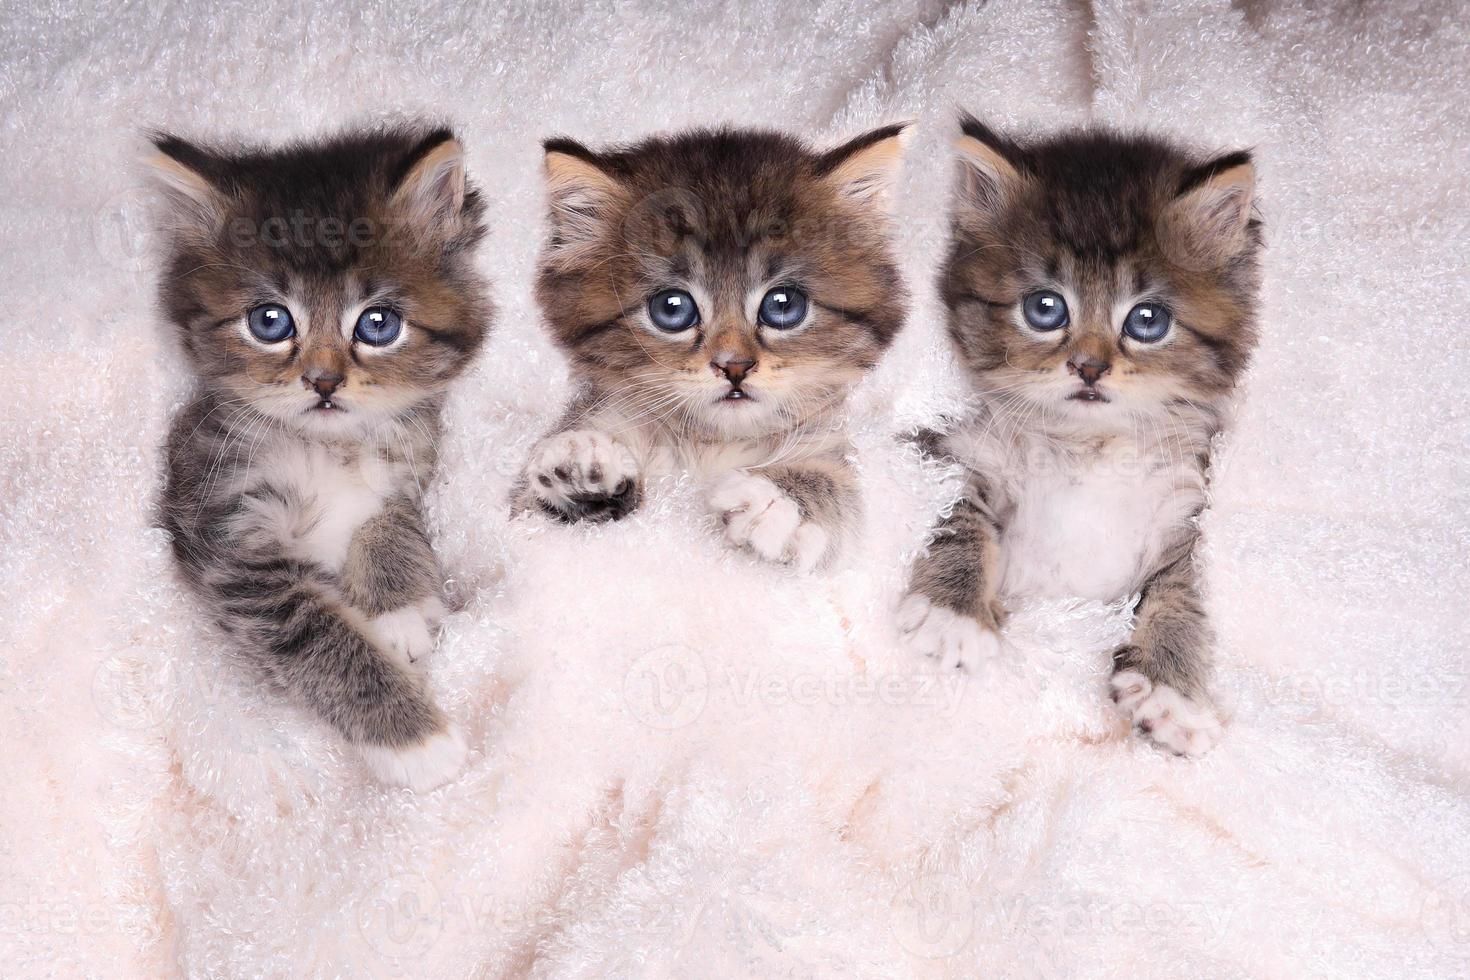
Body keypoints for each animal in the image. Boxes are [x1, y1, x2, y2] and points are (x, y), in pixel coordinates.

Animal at [154, 126, 490, 793]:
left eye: (378, 324)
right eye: (270, 321)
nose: (324, 382)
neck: (332, 447)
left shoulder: (413, 466)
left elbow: (391, 520)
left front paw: (398, 610)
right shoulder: (230, 533)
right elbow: (317, 635)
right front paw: (418, 742)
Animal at [514, 124, 905, 567]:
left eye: (782, 304)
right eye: (672, 308)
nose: (734, 367)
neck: (711, 444)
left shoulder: (830, 444)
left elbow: (835, 485)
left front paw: (776, 500)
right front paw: (579, 465)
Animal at [899, 116, 1258, 758]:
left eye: (1147, 320)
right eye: (1045, 308)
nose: (1089, 368)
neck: (1090, 448)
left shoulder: (1186, 505)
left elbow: (1182, 588)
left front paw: (1172, 692)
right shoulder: (956, 449)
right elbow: (956, 516)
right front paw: (952, 616)